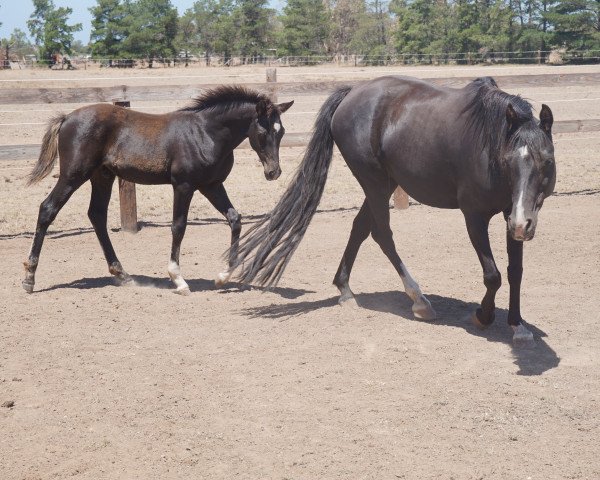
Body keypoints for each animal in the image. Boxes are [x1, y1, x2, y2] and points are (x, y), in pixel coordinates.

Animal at [22, 87, 292, 294]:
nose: (273, 172)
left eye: (281, 132)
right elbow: (178, 226)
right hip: (74, 175)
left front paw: (223, 275)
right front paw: (178, 279)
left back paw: (122, 274)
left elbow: (235, 219)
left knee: (97, 215)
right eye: (262, 131)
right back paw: (29, 277)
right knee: (48, 209)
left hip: (103, 176)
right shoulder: (183, 186)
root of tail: (66, 118)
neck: (206, 133)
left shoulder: (211, 185)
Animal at [227, 76, 556, 344]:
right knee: (382, 234)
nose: (523, 224)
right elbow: (493, 275)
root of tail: (351, 93)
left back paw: (345, 290)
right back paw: (419, 299)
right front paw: (483, 316)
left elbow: (515, 272)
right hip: (374, 182)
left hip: (383, 185)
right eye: (509, 159)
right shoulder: (474, 216)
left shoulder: (511, 214)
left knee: (360, 228)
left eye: (547, 160)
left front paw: (518, 325)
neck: (489, 144)